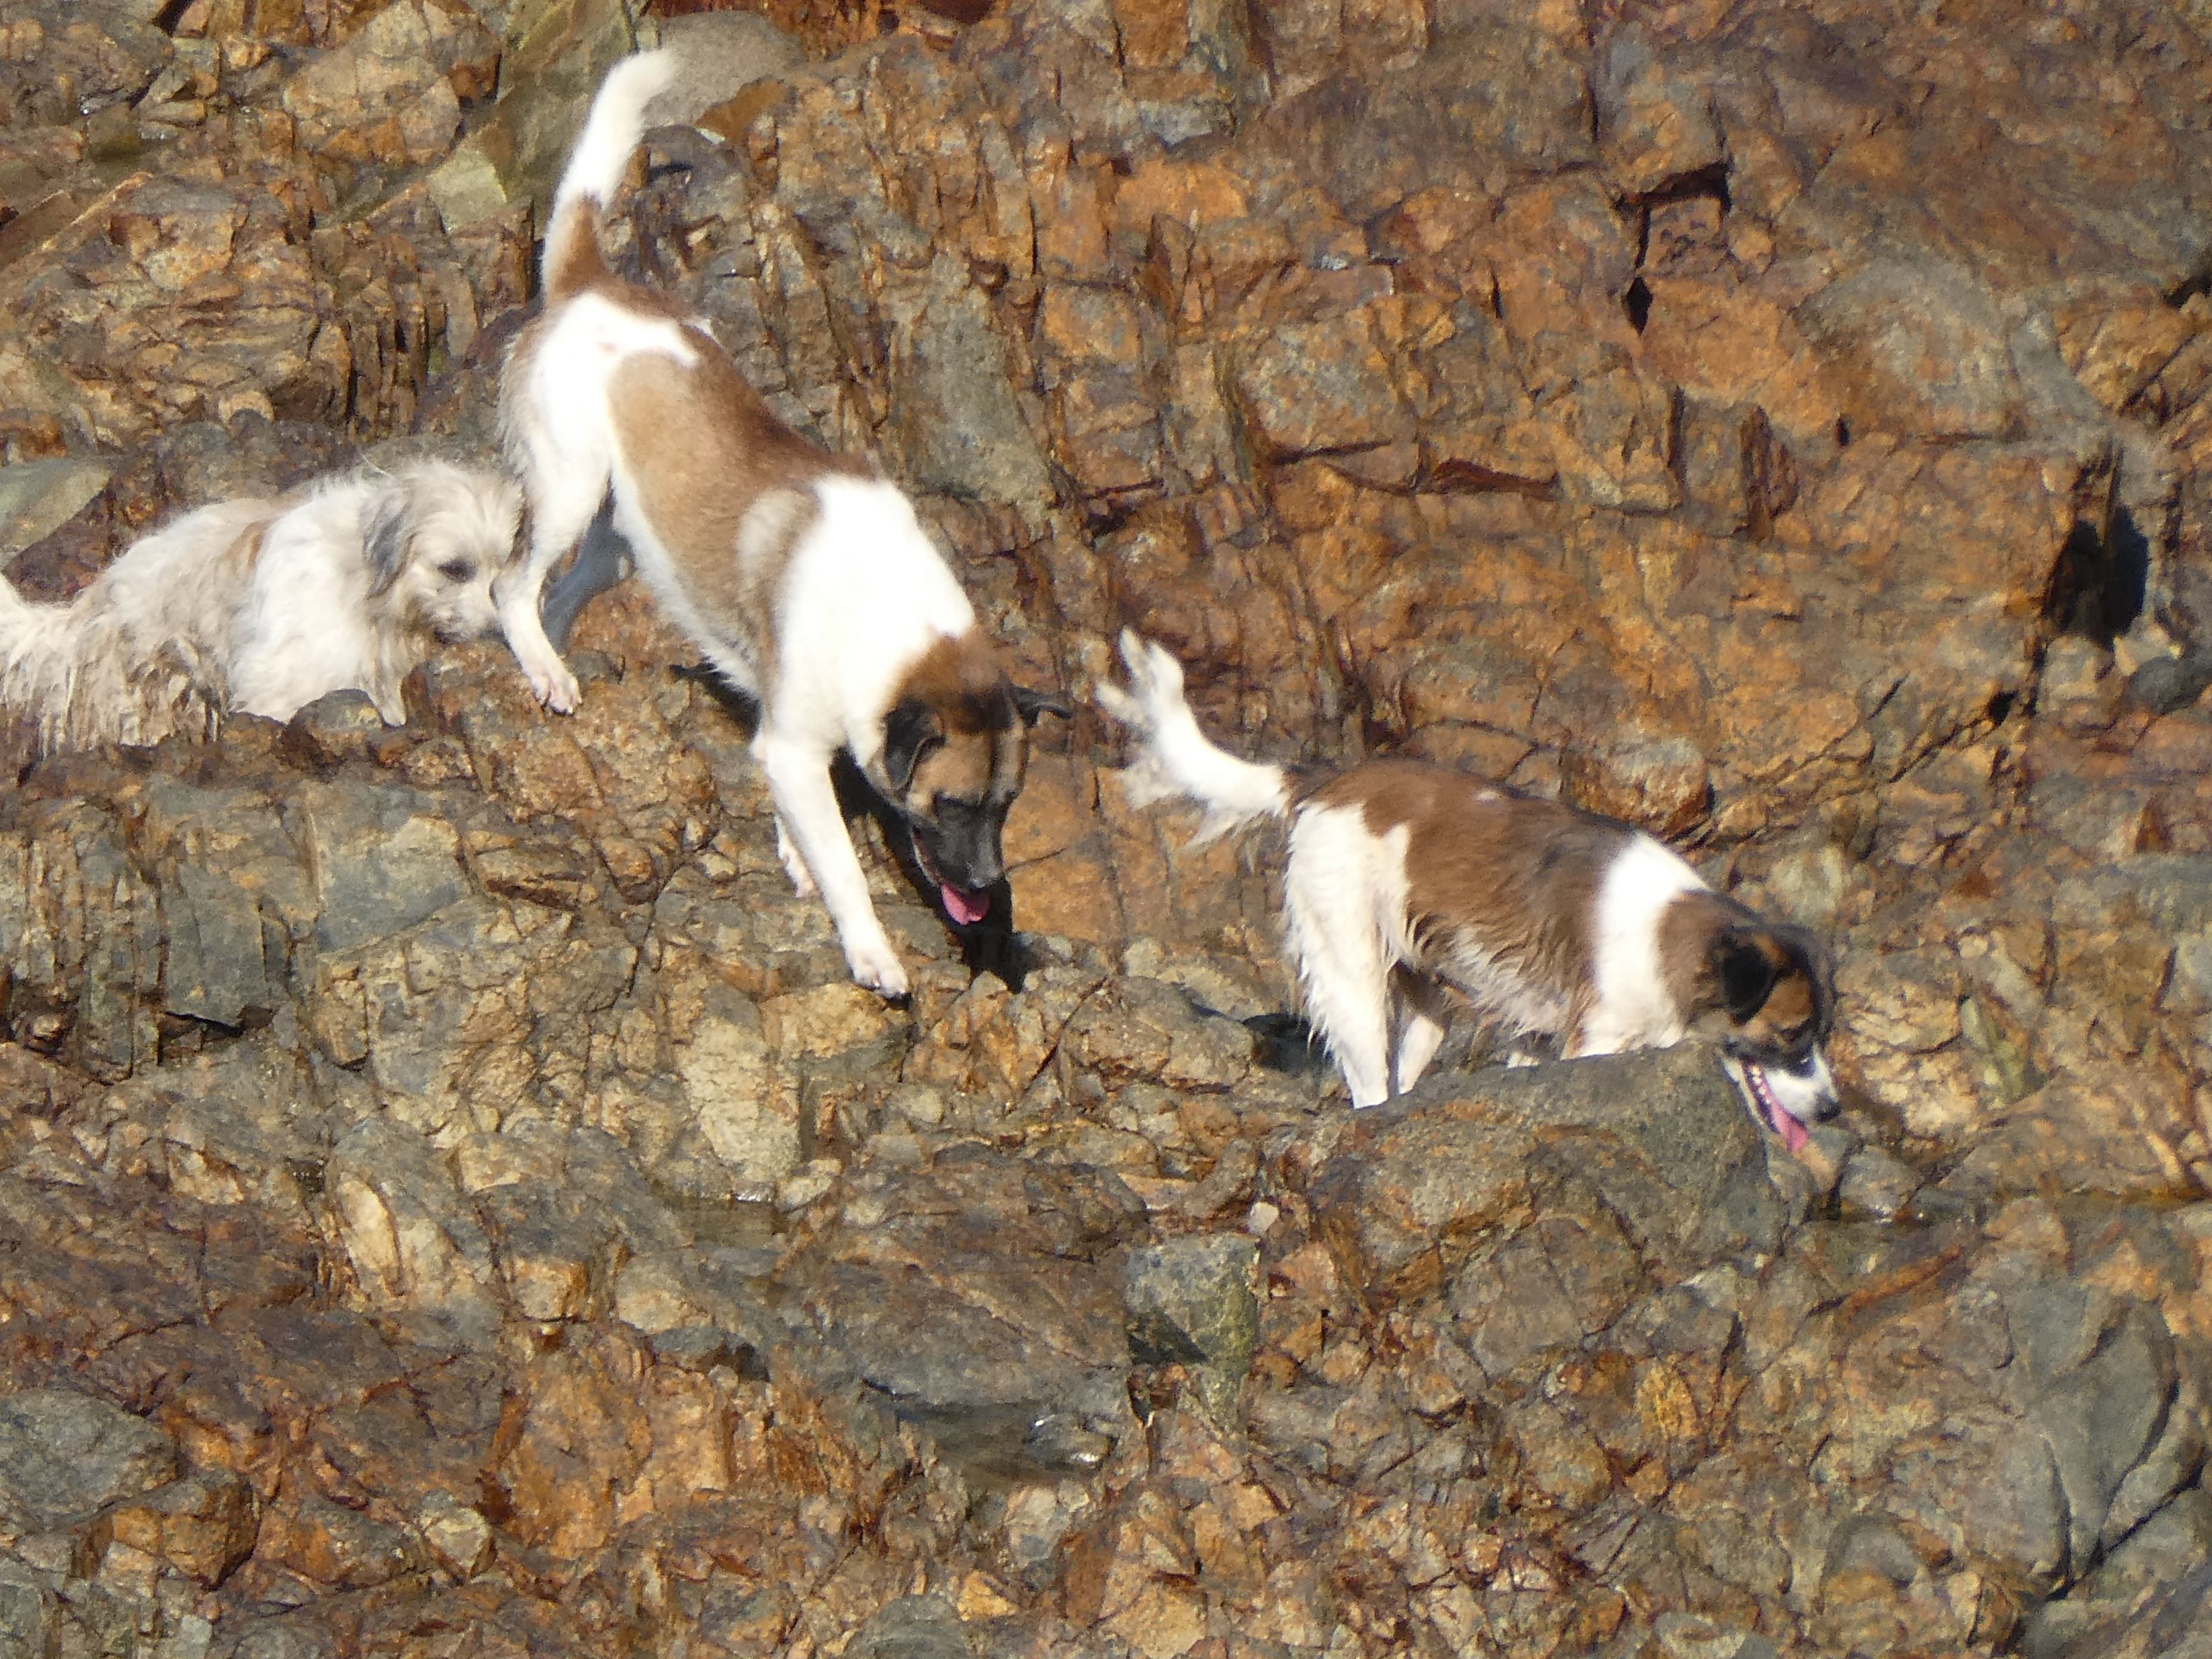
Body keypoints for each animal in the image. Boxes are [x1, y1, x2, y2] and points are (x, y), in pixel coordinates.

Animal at [498, 48, 1066, 999]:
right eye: (950, 805)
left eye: (1009, 804)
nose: (987, 890)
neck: (889, 619)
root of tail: (589, 283)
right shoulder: (798, 745)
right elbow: (842, 862)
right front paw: (872, 951)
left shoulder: (790, 736)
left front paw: (795, 855)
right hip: (570, 487)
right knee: (510, 587)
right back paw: (541, 667)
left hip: (621, 541)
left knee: (559, 594)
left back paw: (556, 664)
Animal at [1097, 628, 1840, 1150]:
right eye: (1790, 1035)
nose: (1833, 1109)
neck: (1672, 938)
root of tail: (1327, 783)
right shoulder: (1594, 1042)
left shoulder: (1540, 1043)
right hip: (1351, 976)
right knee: (1370, 1089)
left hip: (1426, 998)